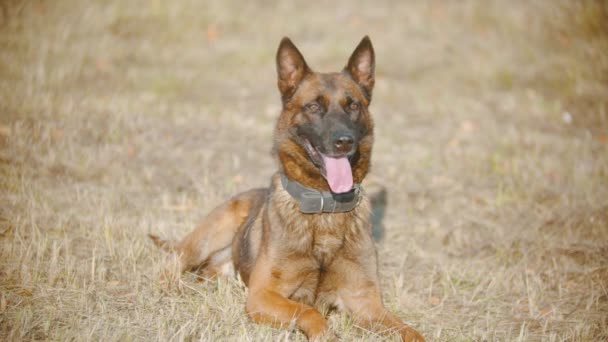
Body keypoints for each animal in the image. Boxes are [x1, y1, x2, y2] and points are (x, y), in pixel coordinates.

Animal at [150, 36, 426, 340]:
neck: (324, 209)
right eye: (314, 107)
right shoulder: (262, 296)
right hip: (206, 238)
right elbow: (309, 312)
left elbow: (411, 331)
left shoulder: (367, 303)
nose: (344, 141)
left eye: (353, 106)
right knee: (173, 262)